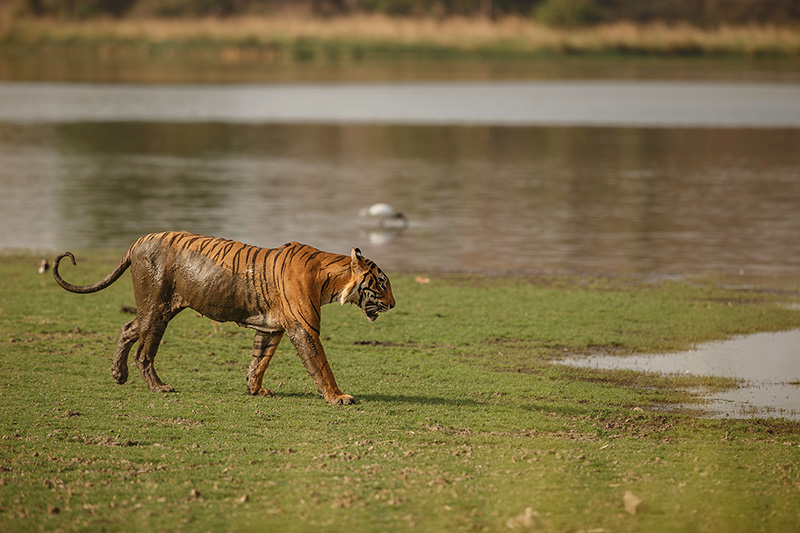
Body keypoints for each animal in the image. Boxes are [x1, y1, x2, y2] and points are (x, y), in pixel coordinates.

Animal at [51, 231, 396, 406]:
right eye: (381, 283)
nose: (393, 305)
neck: (331, 280)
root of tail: (139, 240)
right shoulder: (304, 328)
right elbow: (321, 366)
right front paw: (338, 397)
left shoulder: (271, 329)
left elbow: (259, 361)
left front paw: (256, 390)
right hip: (156, 308)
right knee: (143, 352)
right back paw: (159, 387)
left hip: (158, 308)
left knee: (127, 328)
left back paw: (118, 375)